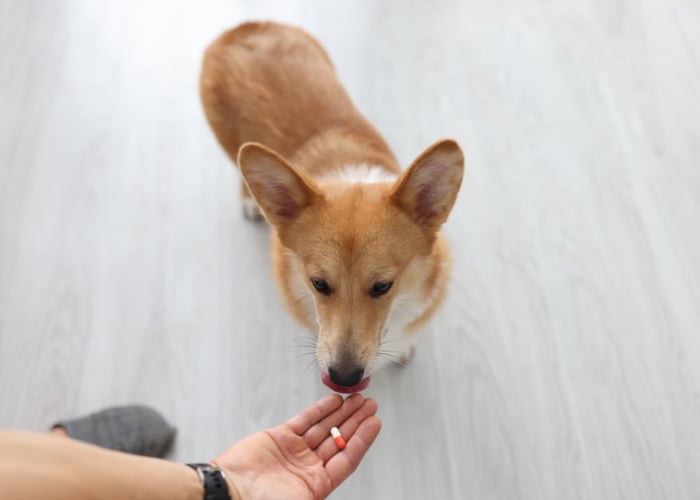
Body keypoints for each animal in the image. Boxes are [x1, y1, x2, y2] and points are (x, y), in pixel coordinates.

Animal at [200, 21, 462, 392]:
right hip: (230, 143)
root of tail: (243, 28)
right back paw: (250, 200)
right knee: (239, 164)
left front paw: (403, 349)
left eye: (383, 286)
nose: (344, 378)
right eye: (318, 284)